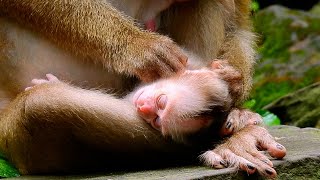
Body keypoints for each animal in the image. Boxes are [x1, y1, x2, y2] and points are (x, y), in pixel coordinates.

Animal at [0, 0, 284, 178]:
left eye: (159, 111)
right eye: (160, 102)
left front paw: (233, 87)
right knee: (37, 108)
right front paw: (140, 47)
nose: (145, 109)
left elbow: (239, 25)